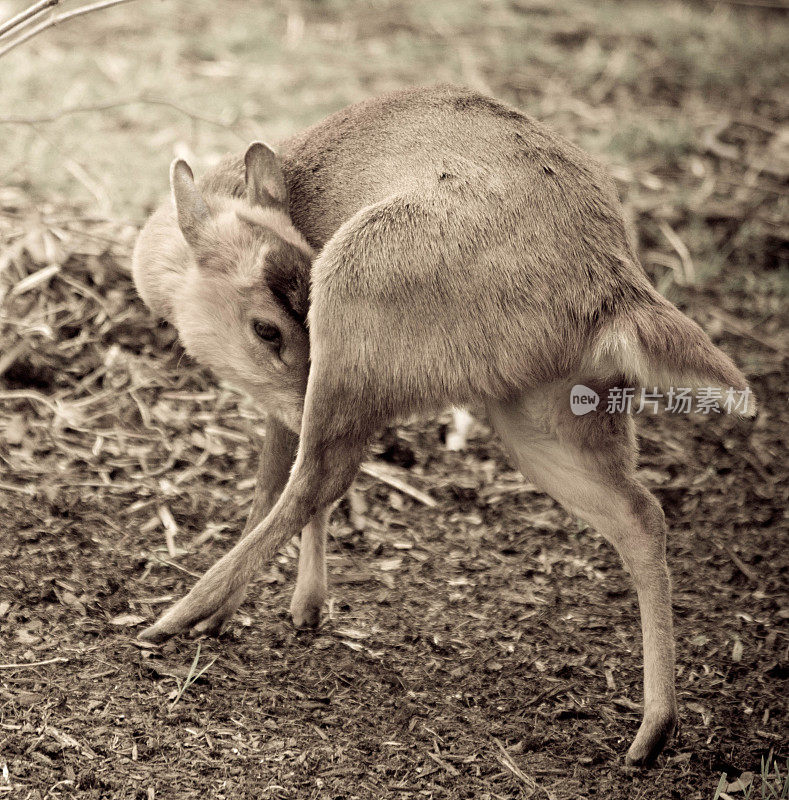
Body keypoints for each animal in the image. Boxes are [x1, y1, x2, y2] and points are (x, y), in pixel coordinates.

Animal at [132, 84, 756, 764]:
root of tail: (612, 281)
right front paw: (306, 608)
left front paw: (255, 612)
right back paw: (652, 733)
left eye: (268, 328)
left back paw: (175, 617)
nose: (300, 389)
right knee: (641, 514)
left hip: (355, 293)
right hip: (547, 412)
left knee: (321, 474)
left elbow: (276, 483)